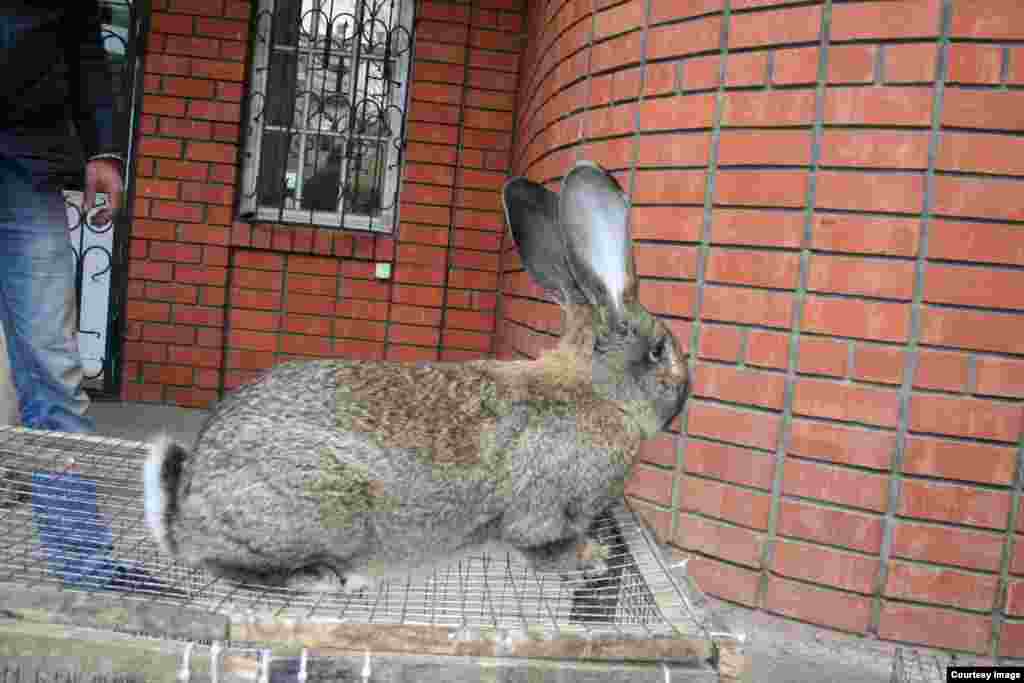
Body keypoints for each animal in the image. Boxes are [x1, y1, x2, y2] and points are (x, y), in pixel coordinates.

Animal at [142, 161, 688, 593]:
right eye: (659, 350)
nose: (685, 393)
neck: (598, 390)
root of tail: (183, 512)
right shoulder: (542, 513)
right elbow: (540, 543)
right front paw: (588, 560)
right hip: (316, 514)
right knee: (219, 562)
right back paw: (318, 576)